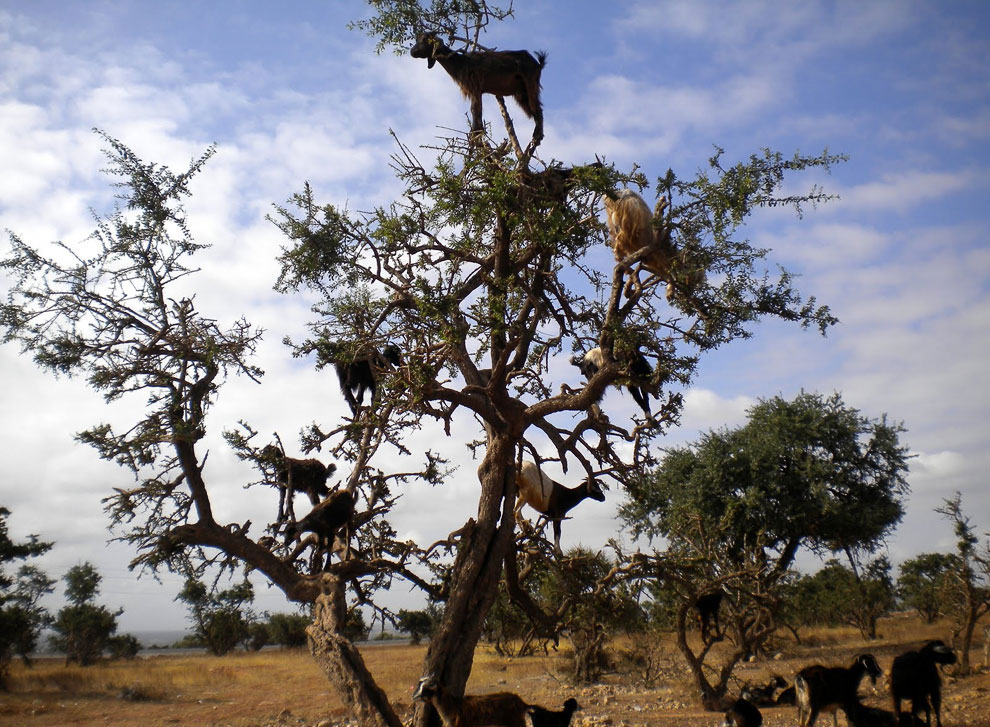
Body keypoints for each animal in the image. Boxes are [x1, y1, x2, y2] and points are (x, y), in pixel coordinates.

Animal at [410, 32, 552, 144]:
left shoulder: (475, 89)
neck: (461, 63)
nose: (412, 52)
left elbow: (475, 111)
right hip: (521, 93)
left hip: (530, 82)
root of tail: (538, 64)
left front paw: (474, 135)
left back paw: (537, 136)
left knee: (537, 108)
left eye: (425, 40)